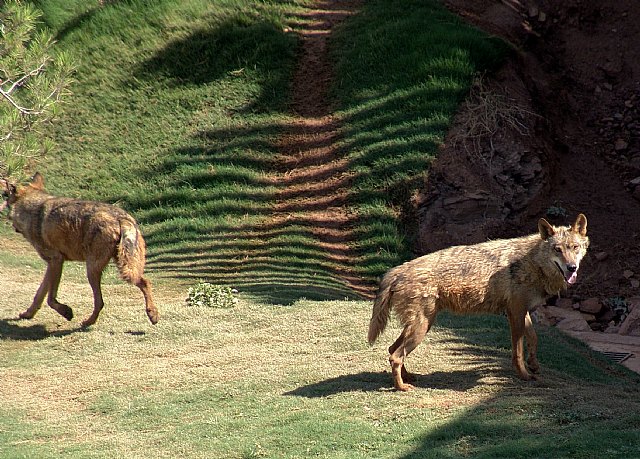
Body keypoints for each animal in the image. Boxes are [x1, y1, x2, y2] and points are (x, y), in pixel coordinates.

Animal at [0, 172, 159, 328]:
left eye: (7, 199)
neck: (33, 211)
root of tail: (120, 218)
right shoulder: (52, 264)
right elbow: (39, 294)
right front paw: (27, 314)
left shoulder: (56, 261)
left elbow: (50, 299)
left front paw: (66, 312)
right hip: (125, 266)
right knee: (145, 282)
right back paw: (153, 314)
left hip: (93, 271)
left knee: (100, 302)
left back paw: (87, 323)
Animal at [368, 214, 588, 390]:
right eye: (557, 249)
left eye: (575, 248)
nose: (572, 268)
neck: (532, 262)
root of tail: (398, 269)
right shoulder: (514, 313)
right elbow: (517, 352)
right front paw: (525, 375)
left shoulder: (522, 311)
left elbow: (534, 338)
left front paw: (534, 364)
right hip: (421, 328)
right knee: (395, 355)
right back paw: (402, 387)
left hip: (421, 326)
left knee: (392, 350)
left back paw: (408, 378)